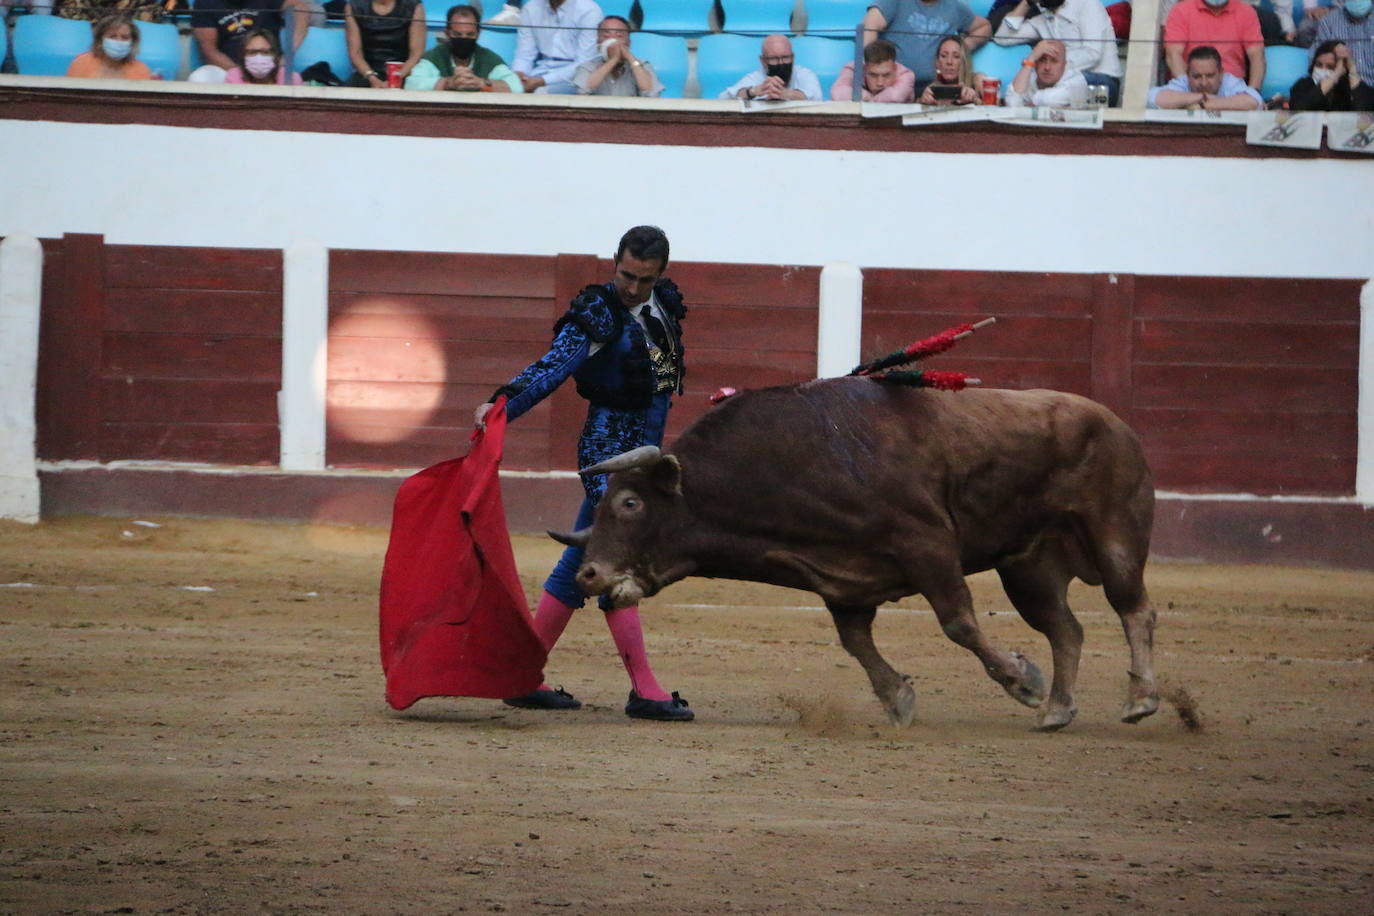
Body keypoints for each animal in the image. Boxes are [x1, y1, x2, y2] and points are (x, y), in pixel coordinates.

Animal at [552, 379, 1165, 730]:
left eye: (630, 503)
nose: (589, 575)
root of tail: (1116, 421)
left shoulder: (928, 545)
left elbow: (959, 623)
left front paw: (1020, 680)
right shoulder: (842, 581)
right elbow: (855, 643)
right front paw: (899, 698)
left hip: (1115, 534)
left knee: (1133, 608)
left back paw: (1139, 700)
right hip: (1028, 565)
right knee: (1066, 628)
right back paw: (1058, 709)